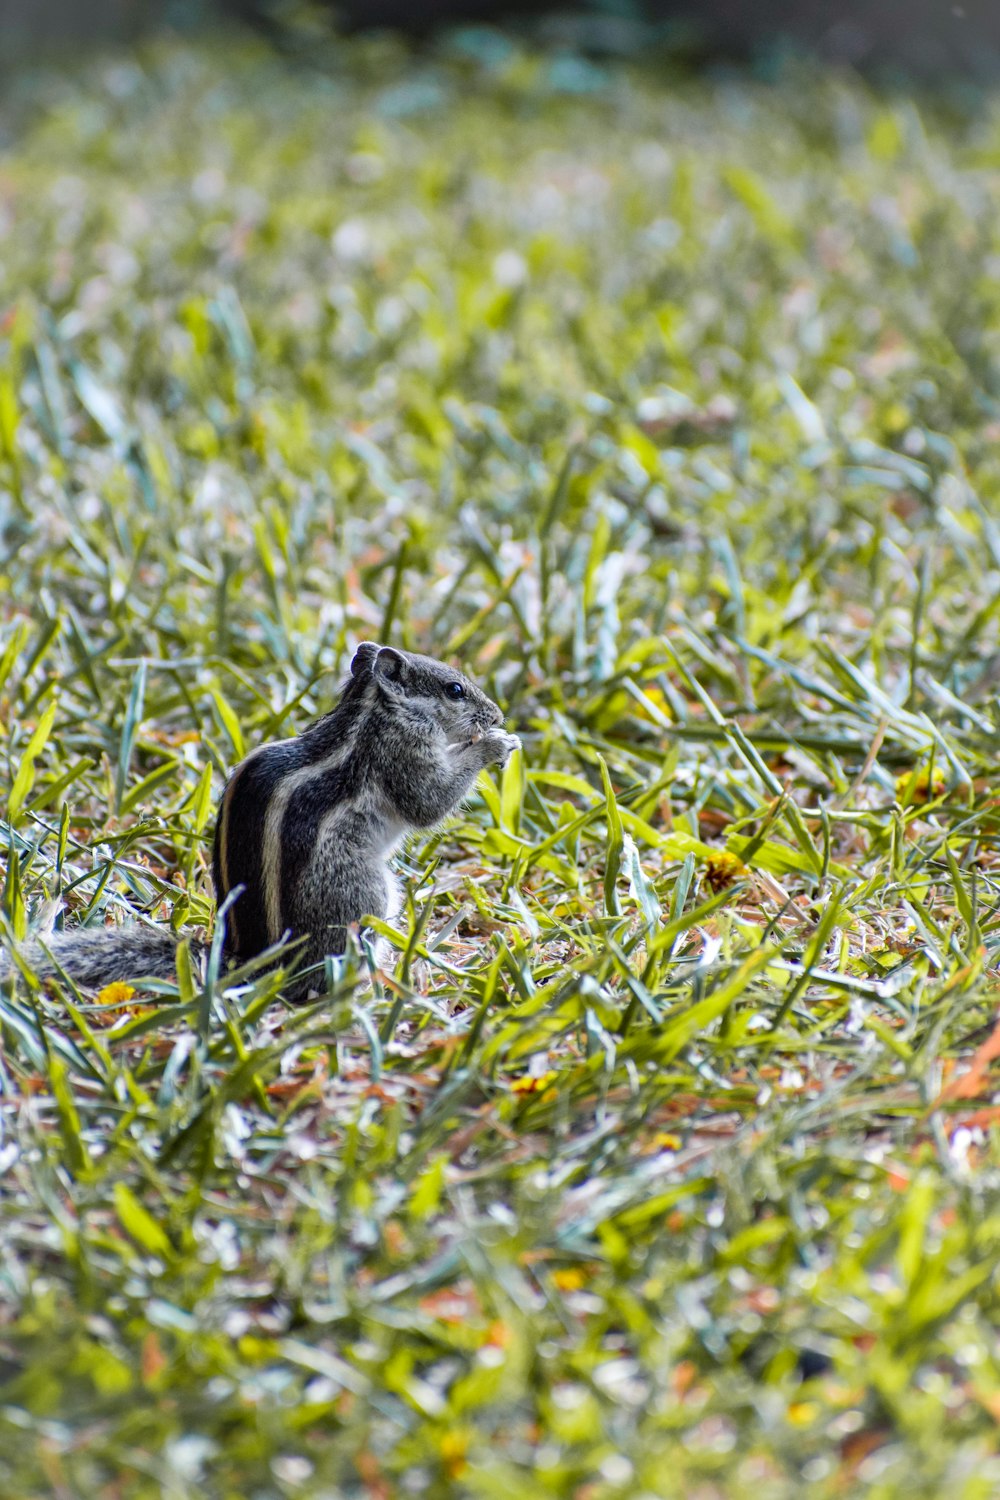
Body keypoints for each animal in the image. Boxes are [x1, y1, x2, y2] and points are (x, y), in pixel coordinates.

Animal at [5, 642, 524, 996]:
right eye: (454, 689)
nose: (497, 713)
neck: (371, 708)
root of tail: (258, 962)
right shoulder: (403, 751)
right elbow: (428, 801)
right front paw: (495, 744)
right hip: (364, 896)